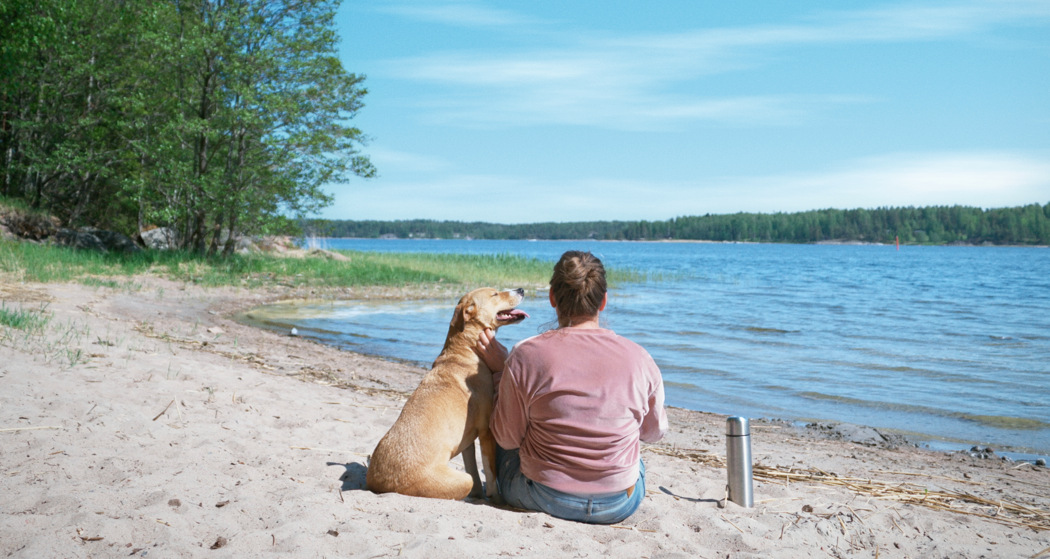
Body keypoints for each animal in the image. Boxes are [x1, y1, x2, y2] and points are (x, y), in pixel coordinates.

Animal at [367, 287, 529, 502]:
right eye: (494, 294)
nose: (521, 289)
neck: (465, 348)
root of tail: (381, 485)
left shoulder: (467, 438)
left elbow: (473, 467)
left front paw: (478, 496)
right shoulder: (486, 431)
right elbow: (490, 472)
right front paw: (495, 498)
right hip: (458, 479)